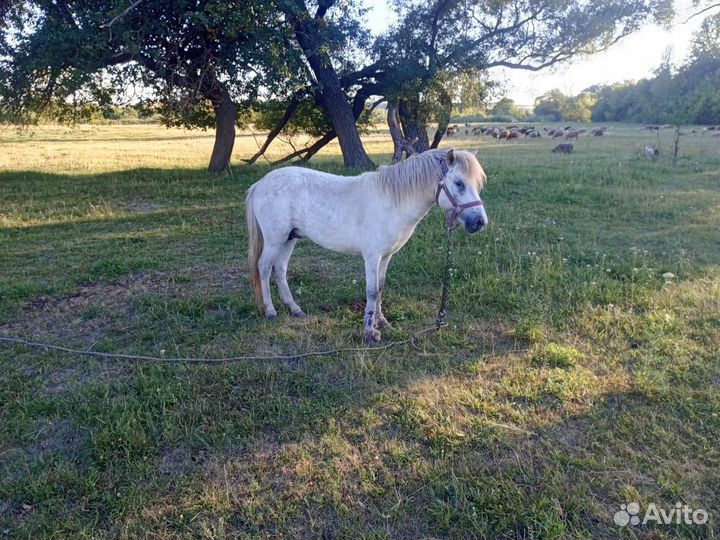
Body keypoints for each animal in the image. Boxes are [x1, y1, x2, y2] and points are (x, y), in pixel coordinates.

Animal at [246, 149, 488, 343]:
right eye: (459, 183)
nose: (480, 222)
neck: (392, 202)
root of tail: (261, 183)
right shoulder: (372, 256)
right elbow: (371, 291)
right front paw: (370, 332)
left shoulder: (386, 256)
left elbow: (380, 288)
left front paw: (383, 323)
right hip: (275, 240)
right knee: (264, 268)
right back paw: (270, 311)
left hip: (290, 238)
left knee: (280, 269)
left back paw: (295, 309)